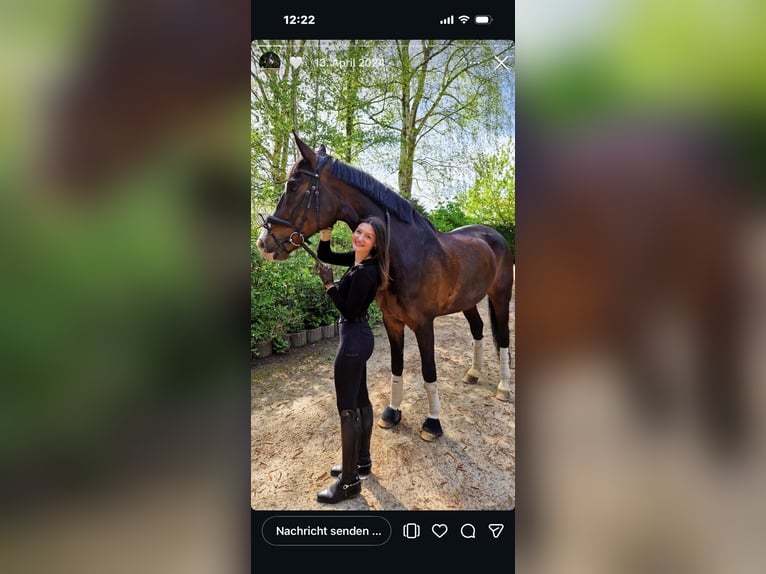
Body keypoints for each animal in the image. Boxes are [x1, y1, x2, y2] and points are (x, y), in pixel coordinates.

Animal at [256, 132, 515, 441]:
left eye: (294, 185)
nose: (263, 243)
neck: (403, 254)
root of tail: (493, 236)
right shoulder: (392, 321)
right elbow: (397, 365)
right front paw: (392, 412)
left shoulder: (424, 324)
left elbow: (429, 371)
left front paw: (433, 423)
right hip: (468, 301)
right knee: (478, 329)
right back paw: (473, 374)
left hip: (500, 297)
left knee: (503, 338)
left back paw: (503, 388)